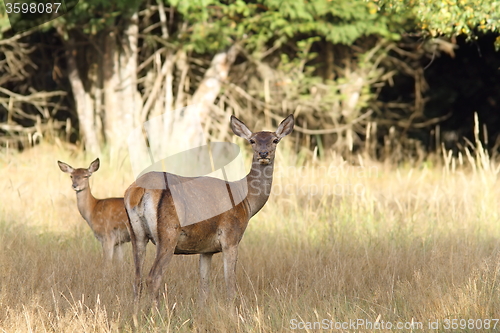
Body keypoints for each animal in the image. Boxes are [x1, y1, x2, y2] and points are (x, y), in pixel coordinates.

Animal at [125, 114, 294, 306]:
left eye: (275, 140)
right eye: (252, 140)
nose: (263, 154)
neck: (246, 202)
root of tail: (139, 190)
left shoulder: (206, 249)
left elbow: (204, 288)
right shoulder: (231, 238)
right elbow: (230, 285)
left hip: (137, 234)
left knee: (136, 278)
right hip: (168, 233)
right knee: (153, 277)